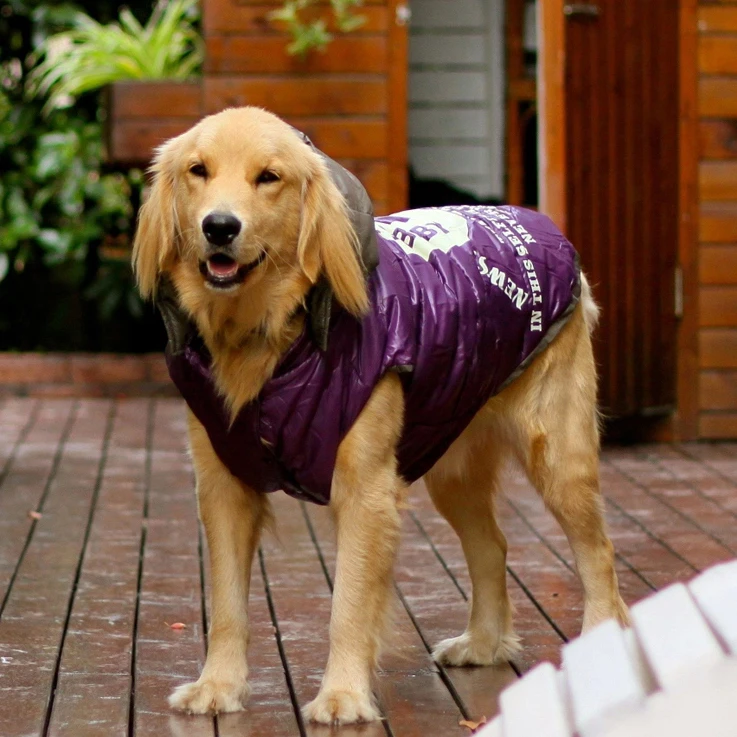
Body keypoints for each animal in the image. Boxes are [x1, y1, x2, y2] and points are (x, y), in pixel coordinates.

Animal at [132, 106, 628, 720]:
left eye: (268, 177)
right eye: (198, 171)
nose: (218, 227)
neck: (271, 339)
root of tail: (533, 219)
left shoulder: (365, 490)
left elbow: (348, 603)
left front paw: (342, 695)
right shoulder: (223, 485)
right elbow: (226, 604)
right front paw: (217, 686)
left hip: (558, 457)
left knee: (598, 552)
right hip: (450, 462)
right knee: (493, 545)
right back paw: (483, 643)